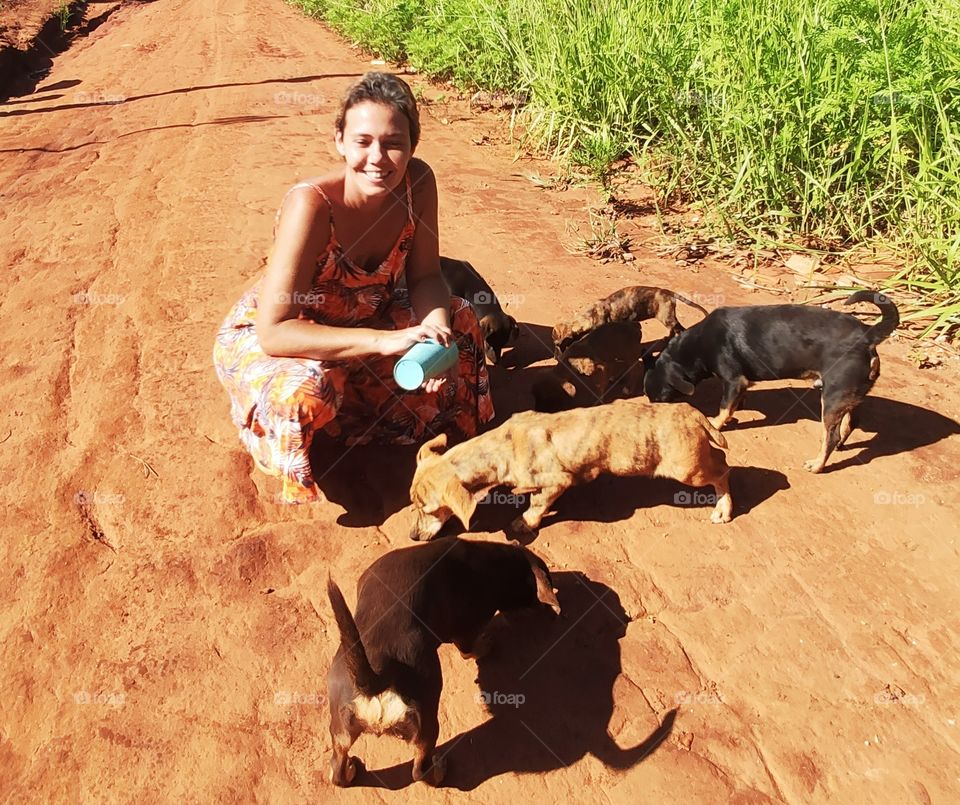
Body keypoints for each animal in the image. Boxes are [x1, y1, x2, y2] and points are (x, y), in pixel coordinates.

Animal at [326, 536, 560, 788]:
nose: (551, 610)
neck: (495, 564)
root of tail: (378, 676)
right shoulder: (466, 630)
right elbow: (469, 650)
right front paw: (486, 646)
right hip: (426, 722)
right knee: (419, 770)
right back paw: (439, 770)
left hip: (340, 728)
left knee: (338, 767)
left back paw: (348, 771)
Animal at [408, 394, 732, 532]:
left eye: (430, 510)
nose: (412, 535)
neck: (502, 445)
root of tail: (693, 412)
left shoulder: (558, 482)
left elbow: (536, 505)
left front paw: (525, 522)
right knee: (721, 459)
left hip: (687, 469)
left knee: (723, 471)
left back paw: (723, 509)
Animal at [552, 284, 708, 356]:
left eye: (558, 345)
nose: (555, 356)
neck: (590, 315)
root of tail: (668, 292)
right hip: (668, 318)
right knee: (674, 329)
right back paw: (667, 339)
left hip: (667, 318)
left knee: (681, 329)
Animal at [640, 292, 896, 474]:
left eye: (661, 399)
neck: (696, 345)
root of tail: (867, 335)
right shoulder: (740, 384)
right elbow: (734, 403)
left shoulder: (733, 380)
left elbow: (723, 409)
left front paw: (715, 423)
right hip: (849, 396)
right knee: (850, 423)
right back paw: (841, 444)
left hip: (833, 397)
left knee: (829, 436)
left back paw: (817, 465)